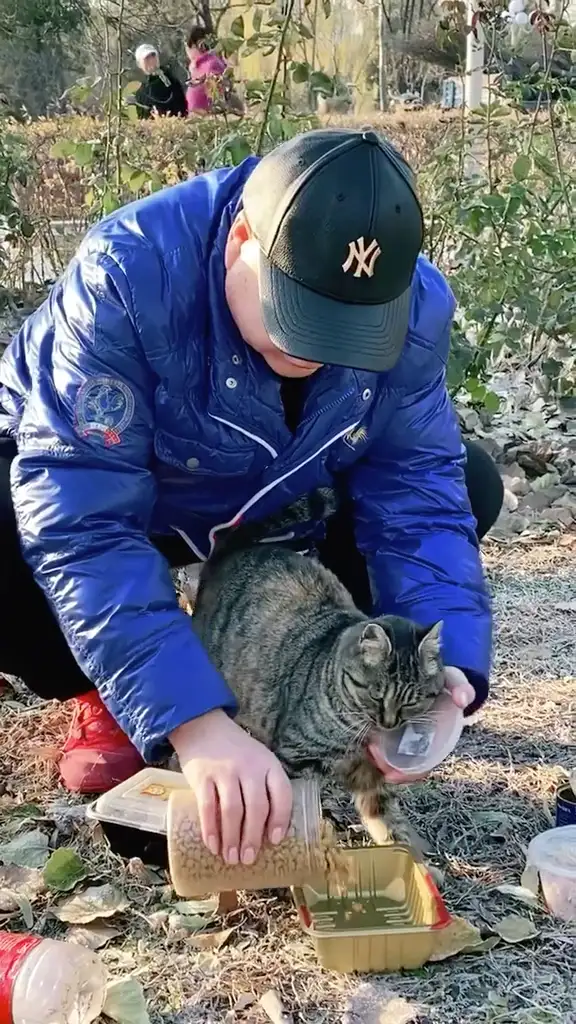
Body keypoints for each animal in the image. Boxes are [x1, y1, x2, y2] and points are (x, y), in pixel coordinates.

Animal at [192, 491, 444, 843]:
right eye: (376, 695)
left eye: (411, 701)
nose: (389, 723)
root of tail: (233, 547)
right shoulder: (294, 759)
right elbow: (287, 808)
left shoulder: (364, 768)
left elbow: (384, 813)